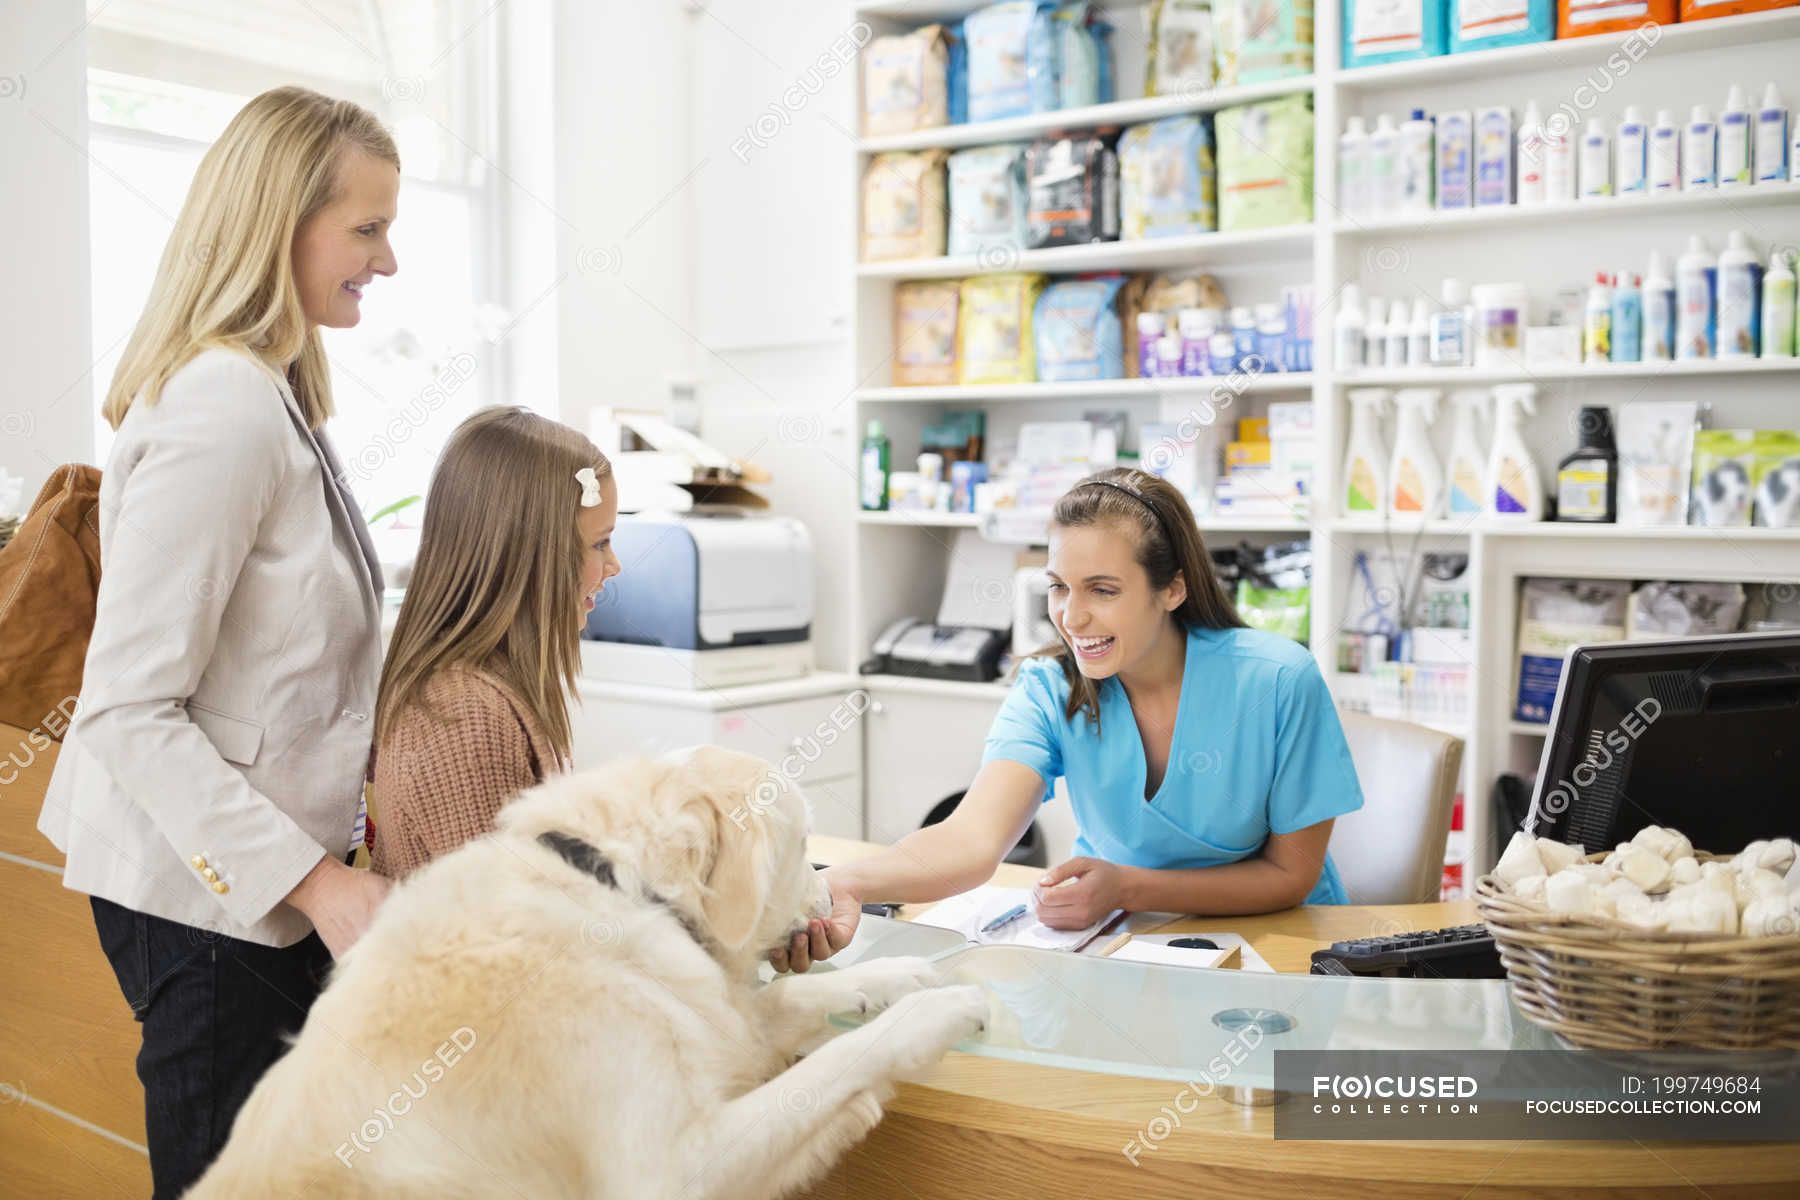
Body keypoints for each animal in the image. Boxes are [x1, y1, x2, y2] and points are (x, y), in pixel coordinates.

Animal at [186, 744, 986, 1194]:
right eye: (799, 849)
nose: (829, 897)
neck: (611, 883)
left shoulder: (711, 1016)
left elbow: (792, 1002)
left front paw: (899, 980)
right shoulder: (674, 1170)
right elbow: (838, 1061)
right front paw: (935, 1013)